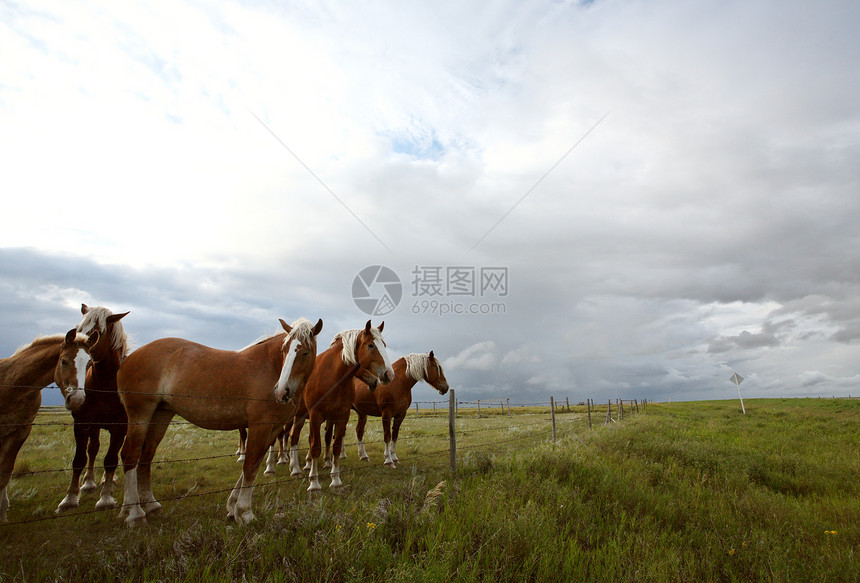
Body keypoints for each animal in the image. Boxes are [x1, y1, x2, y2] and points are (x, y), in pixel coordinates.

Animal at [0, 328, 95, 524]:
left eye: (89, 363)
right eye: (64, 361)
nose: (77, 399)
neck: (14, 384)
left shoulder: (21, 431)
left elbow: (5, 471)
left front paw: (2, 514)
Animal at [56, 306, 129, 516]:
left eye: (98, 332)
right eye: (79, 327)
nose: (77, 344)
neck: (105, 384)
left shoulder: (120, 426)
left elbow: (111, 459)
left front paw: (105, 499)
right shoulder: (81, 422)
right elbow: (80, 458)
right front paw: (70, 498)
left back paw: (106, 480)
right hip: (94, 426)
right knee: (93, 449)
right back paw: (89, 482)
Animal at [117, 318, 322, 528]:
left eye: (305, 352)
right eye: (284, 349)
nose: (281, 392)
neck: (271, 367)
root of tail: (129, 358)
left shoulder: (273, 428)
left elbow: (254, 462)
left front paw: (233, 506)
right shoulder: (260, 426)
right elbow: (250, 466)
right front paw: (245, 512)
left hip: (160, 415)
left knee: (146, 455)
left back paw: (150, 505)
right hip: (140, 415)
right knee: (130, 455)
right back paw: (135, 513)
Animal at [288, 322, 396, 490]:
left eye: (384, 344)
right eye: (371, 345)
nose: (388, 374)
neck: (332, 377)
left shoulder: (341, 417)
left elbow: (336, 446)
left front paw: (336, 480)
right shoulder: (315, 416)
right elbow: (315, 447)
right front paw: (314, 483)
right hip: (300, 415)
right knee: (293, 437)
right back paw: (295, 469)